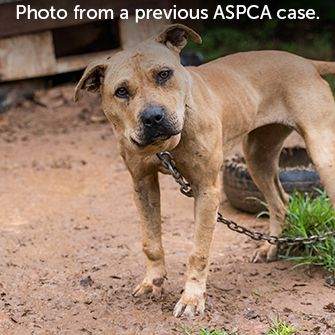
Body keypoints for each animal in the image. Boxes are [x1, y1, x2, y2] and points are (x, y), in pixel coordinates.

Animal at [75, 23, 335, 318]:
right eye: (121, 91)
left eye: (164, 74)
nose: (153, 117)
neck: (169, 145)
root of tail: (306, 62)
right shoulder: (142, 184)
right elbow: (150, 242)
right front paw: (153, 281)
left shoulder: (206, 190)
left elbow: (197, 252)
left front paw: (191, 298)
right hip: (258, 157)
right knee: (280, 201)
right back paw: (270, 247)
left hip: (322, 153)